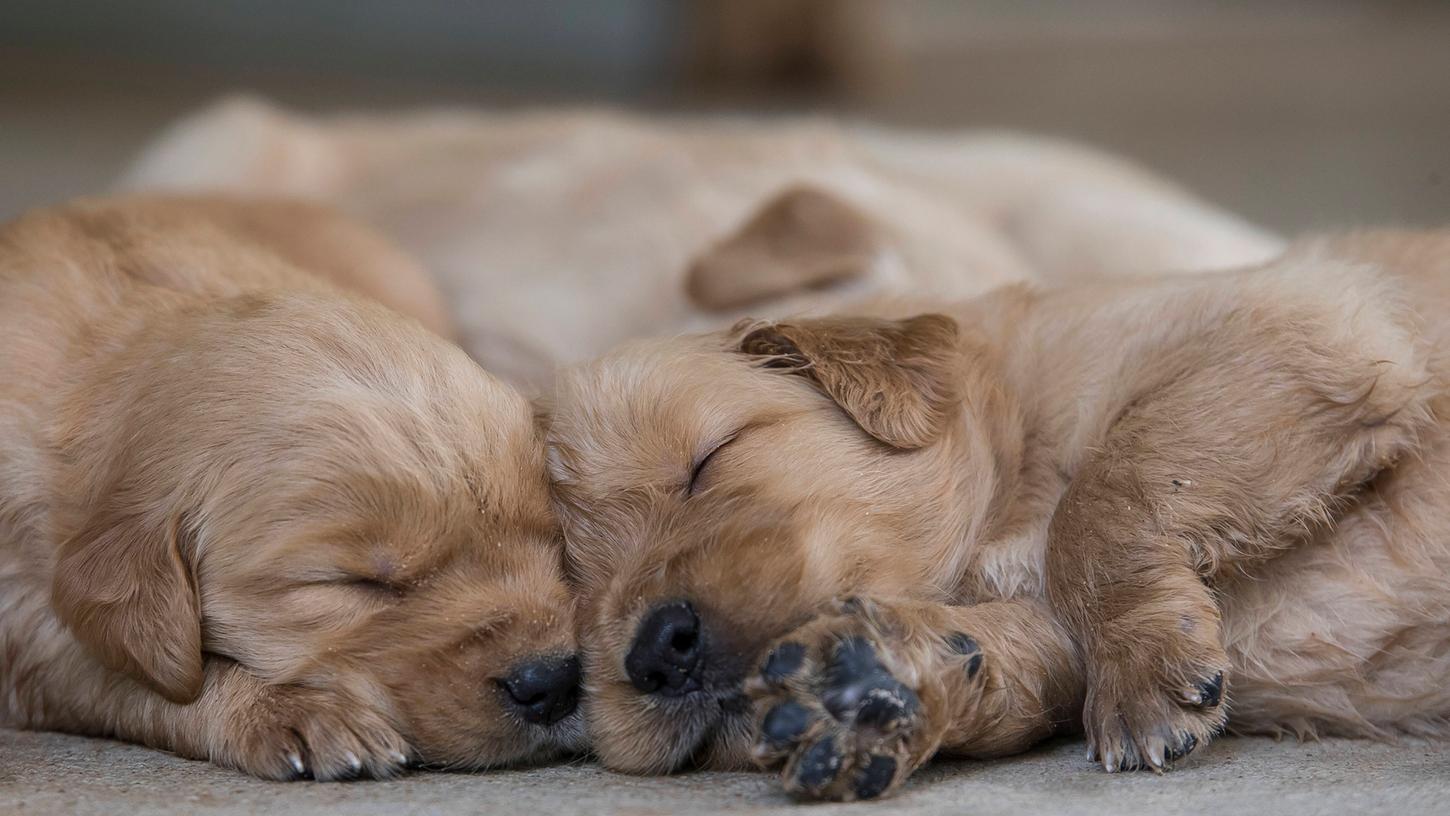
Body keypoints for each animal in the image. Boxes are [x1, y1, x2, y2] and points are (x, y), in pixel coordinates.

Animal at [4, 194, 588, 782]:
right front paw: (293, 709)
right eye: (357, 584)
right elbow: (131, 679)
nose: (552, 681)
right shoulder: (28, 636)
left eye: (552, 541)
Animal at [545, 233, 1450, 800]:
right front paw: (864, 684)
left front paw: (1142, 666)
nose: (655, 652)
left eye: (708, 460)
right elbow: (1003, 652)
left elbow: (1104, 494)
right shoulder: (1037, 627)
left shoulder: (1296, 324)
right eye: (576, 583)